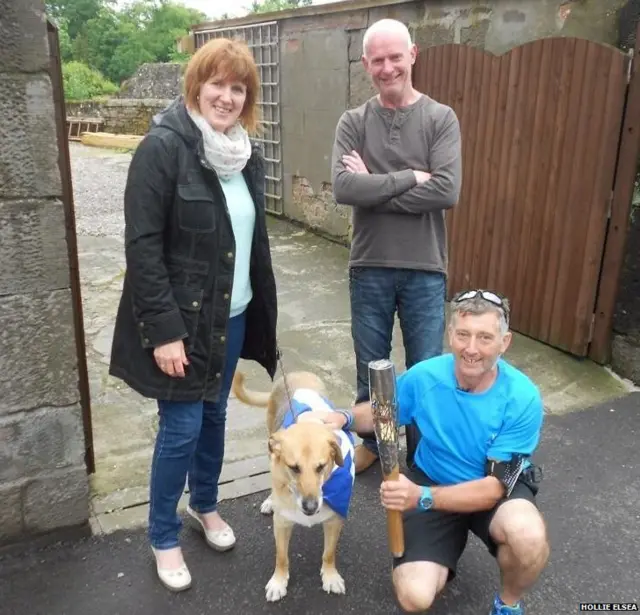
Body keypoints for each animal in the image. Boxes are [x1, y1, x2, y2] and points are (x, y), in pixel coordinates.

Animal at [232, 370, 358, 600]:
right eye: (294, 468)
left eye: (321, 467)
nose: (310, 507)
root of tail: (297, 373)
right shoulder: (281, 523)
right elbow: (281, 557)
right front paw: (279, 581)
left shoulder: (334, 520)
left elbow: (329, 553)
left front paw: (330, 575)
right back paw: (270, 501)